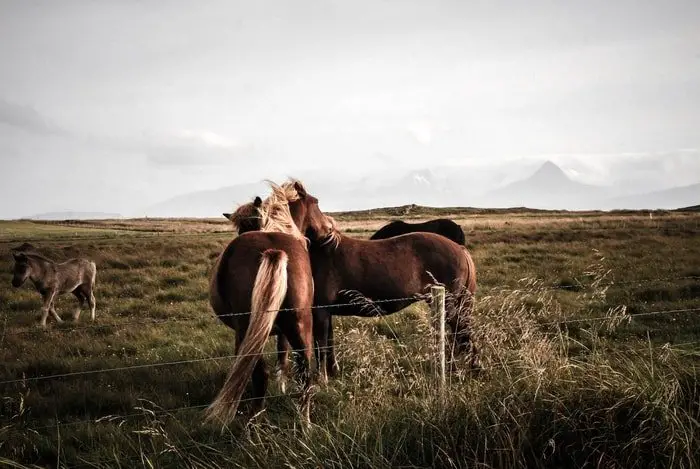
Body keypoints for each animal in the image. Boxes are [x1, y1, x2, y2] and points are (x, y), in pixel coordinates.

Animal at [205, 180, 334, 428]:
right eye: (317, 203)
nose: (329, 229)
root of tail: (274, 251)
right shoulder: (282, 331)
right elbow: (282, 359)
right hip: (300, 323)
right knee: (304, 370)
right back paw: (304, 423)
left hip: (249, 329)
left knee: (257, 372)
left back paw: (253, 420)